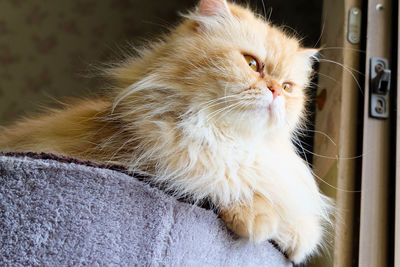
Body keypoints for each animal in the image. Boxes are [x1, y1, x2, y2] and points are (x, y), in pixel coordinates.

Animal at [0, 0, 332, 264]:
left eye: (288, 87)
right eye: (252, 64)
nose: (275, 91)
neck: (228, 136)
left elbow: (296, 215)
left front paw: (296, 238)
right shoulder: (164, 160)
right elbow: (225, 183)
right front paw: (257, 220)